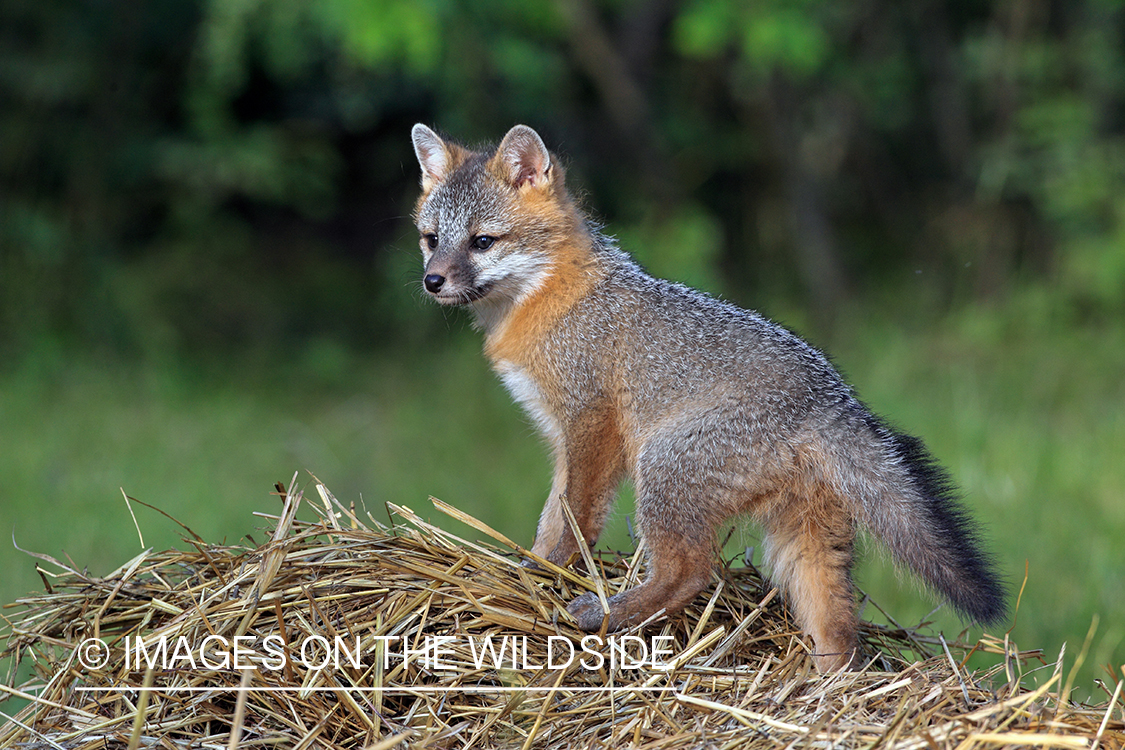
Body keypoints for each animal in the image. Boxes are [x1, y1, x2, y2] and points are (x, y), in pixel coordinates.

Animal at [409, 123, 1006, 671]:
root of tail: (832, 399)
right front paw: (531, 569)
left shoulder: (592, 425)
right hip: (804, 540)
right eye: (431, 239)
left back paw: (608, 614)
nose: (432, 282)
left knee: (690, 573)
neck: (547, 300)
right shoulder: (561, 437)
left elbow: (576, 518)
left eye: (483, 241)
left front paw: (555, 571)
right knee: (838, 633)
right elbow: (551, 516)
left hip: (662, 468)